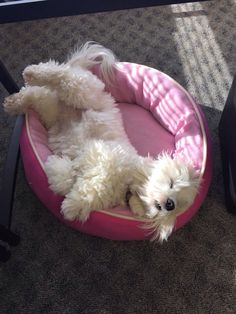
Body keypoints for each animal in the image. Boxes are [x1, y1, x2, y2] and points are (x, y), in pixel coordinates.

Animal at [3, 42, 199, 240]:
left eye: (177, 204)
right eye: (171, 182)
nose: (169, 204)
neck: (128, 182)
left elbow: (69, 179)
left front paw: (60, 171)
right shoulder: (106, 160)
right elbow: (91, 186)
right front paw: (72, 206)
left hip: (50, 110)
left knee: (36, 94)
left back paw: (14, 102)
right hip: (82, 91)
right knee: (61, 74)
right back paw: (32, 72)